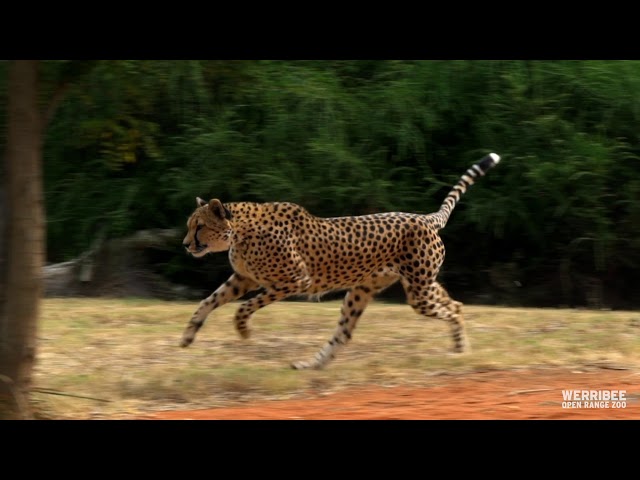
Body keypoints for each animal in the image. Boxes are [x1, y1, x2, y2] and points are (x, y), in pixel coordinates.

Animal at [181, 152, 501, 369]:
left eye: (199, 226)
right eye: (190, 225)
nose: (185, 245)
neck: (240, 231)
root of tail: (425, 218)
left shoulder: (296, 280)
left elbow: (244, 307)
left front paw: (243, 329)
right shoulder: (243, 278)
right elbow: (208, 301)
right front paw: (188, 336)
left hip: (417, 291)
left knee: (453, 307)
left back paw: (461, 349)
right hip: (369, 290)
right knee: (346, 332)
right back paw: (311, 366)